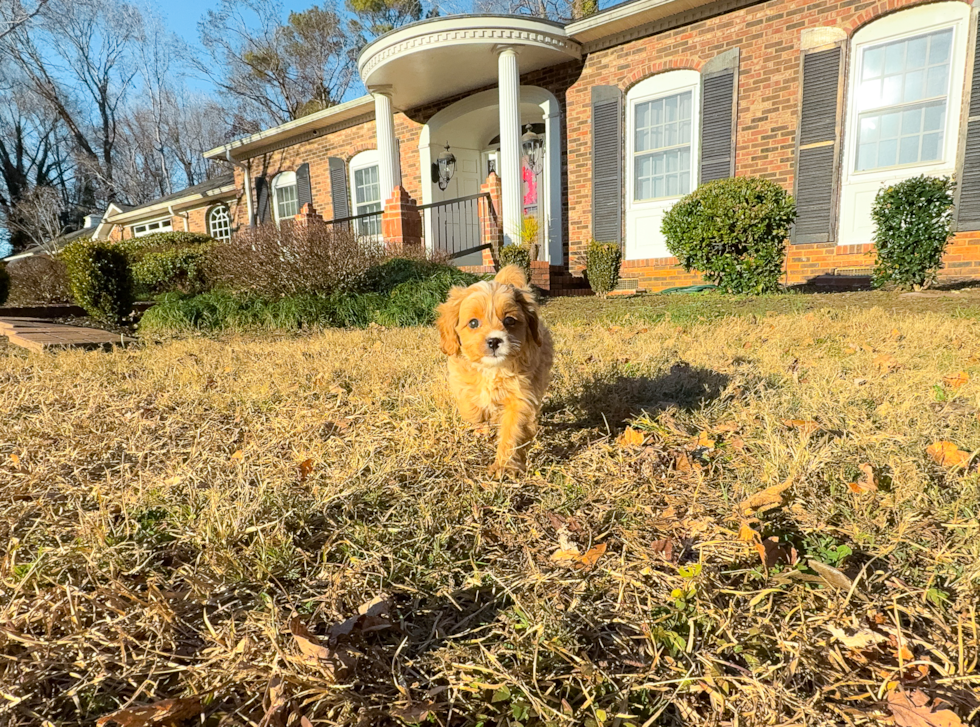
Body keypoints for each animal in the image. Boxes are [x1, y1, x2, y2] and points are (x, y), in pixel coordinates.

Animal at [436, 264, 552, 478]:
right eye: (473, 323)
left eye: (510, 321)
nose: (494, 340)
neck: (493, 369)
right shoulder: (460, 378)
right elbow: (470, 404)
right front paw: (480, 417)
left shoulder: (520, 397)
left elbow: (512, 430)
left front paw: (503, 466)